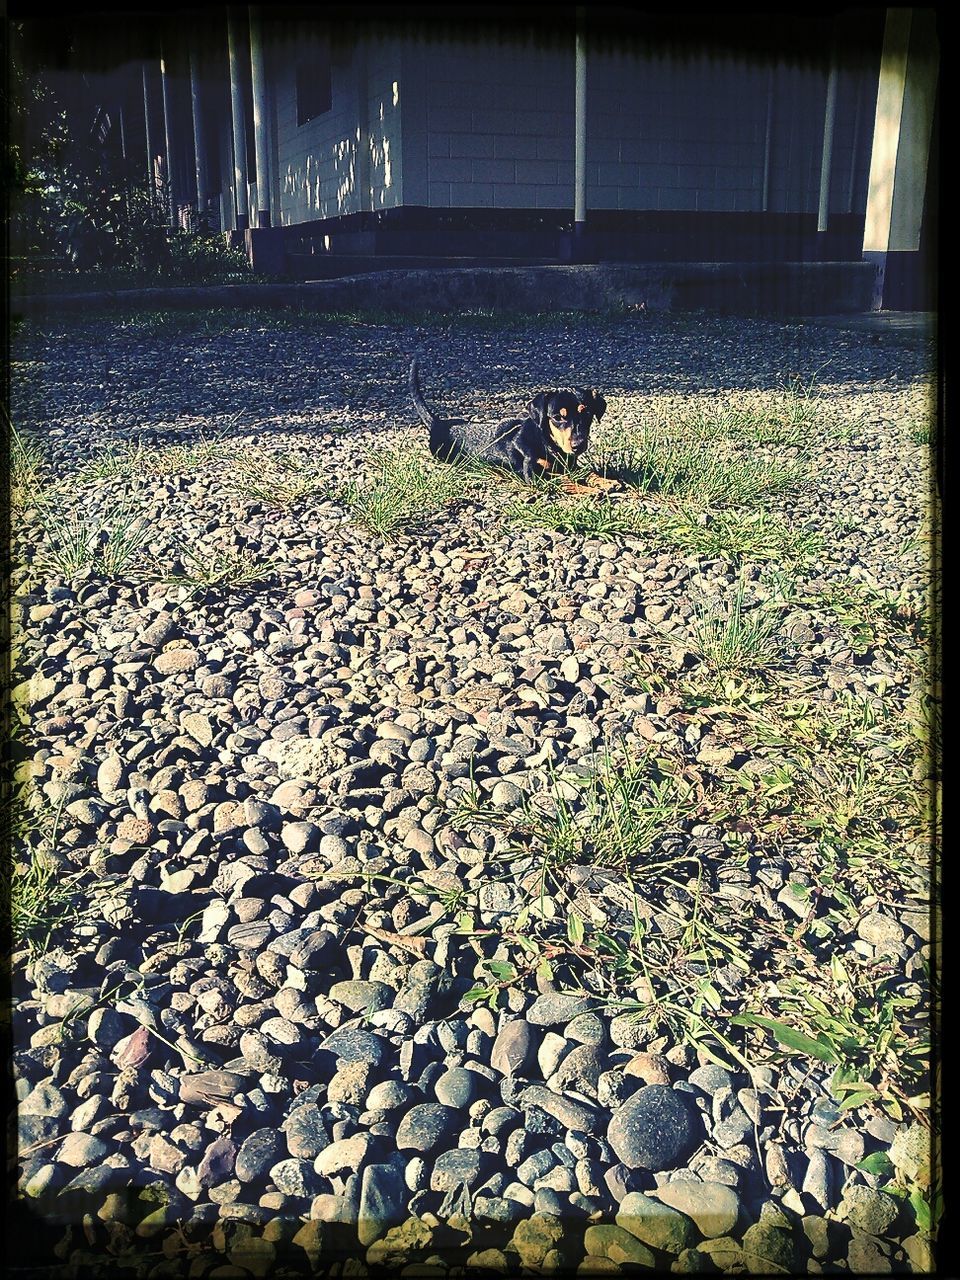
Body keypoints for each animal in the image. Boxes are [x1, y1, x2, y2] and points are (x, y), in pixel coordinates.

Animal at [409, 360, 619, 488]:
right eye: (557, 418)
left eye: (588, 413)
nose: (578, 445)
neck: (547, 442)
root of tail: (438, 424)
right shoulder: (533, 475)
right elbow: (566, 480)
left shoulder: (572, 465)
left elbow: (587, 472)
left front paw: (607, 481)